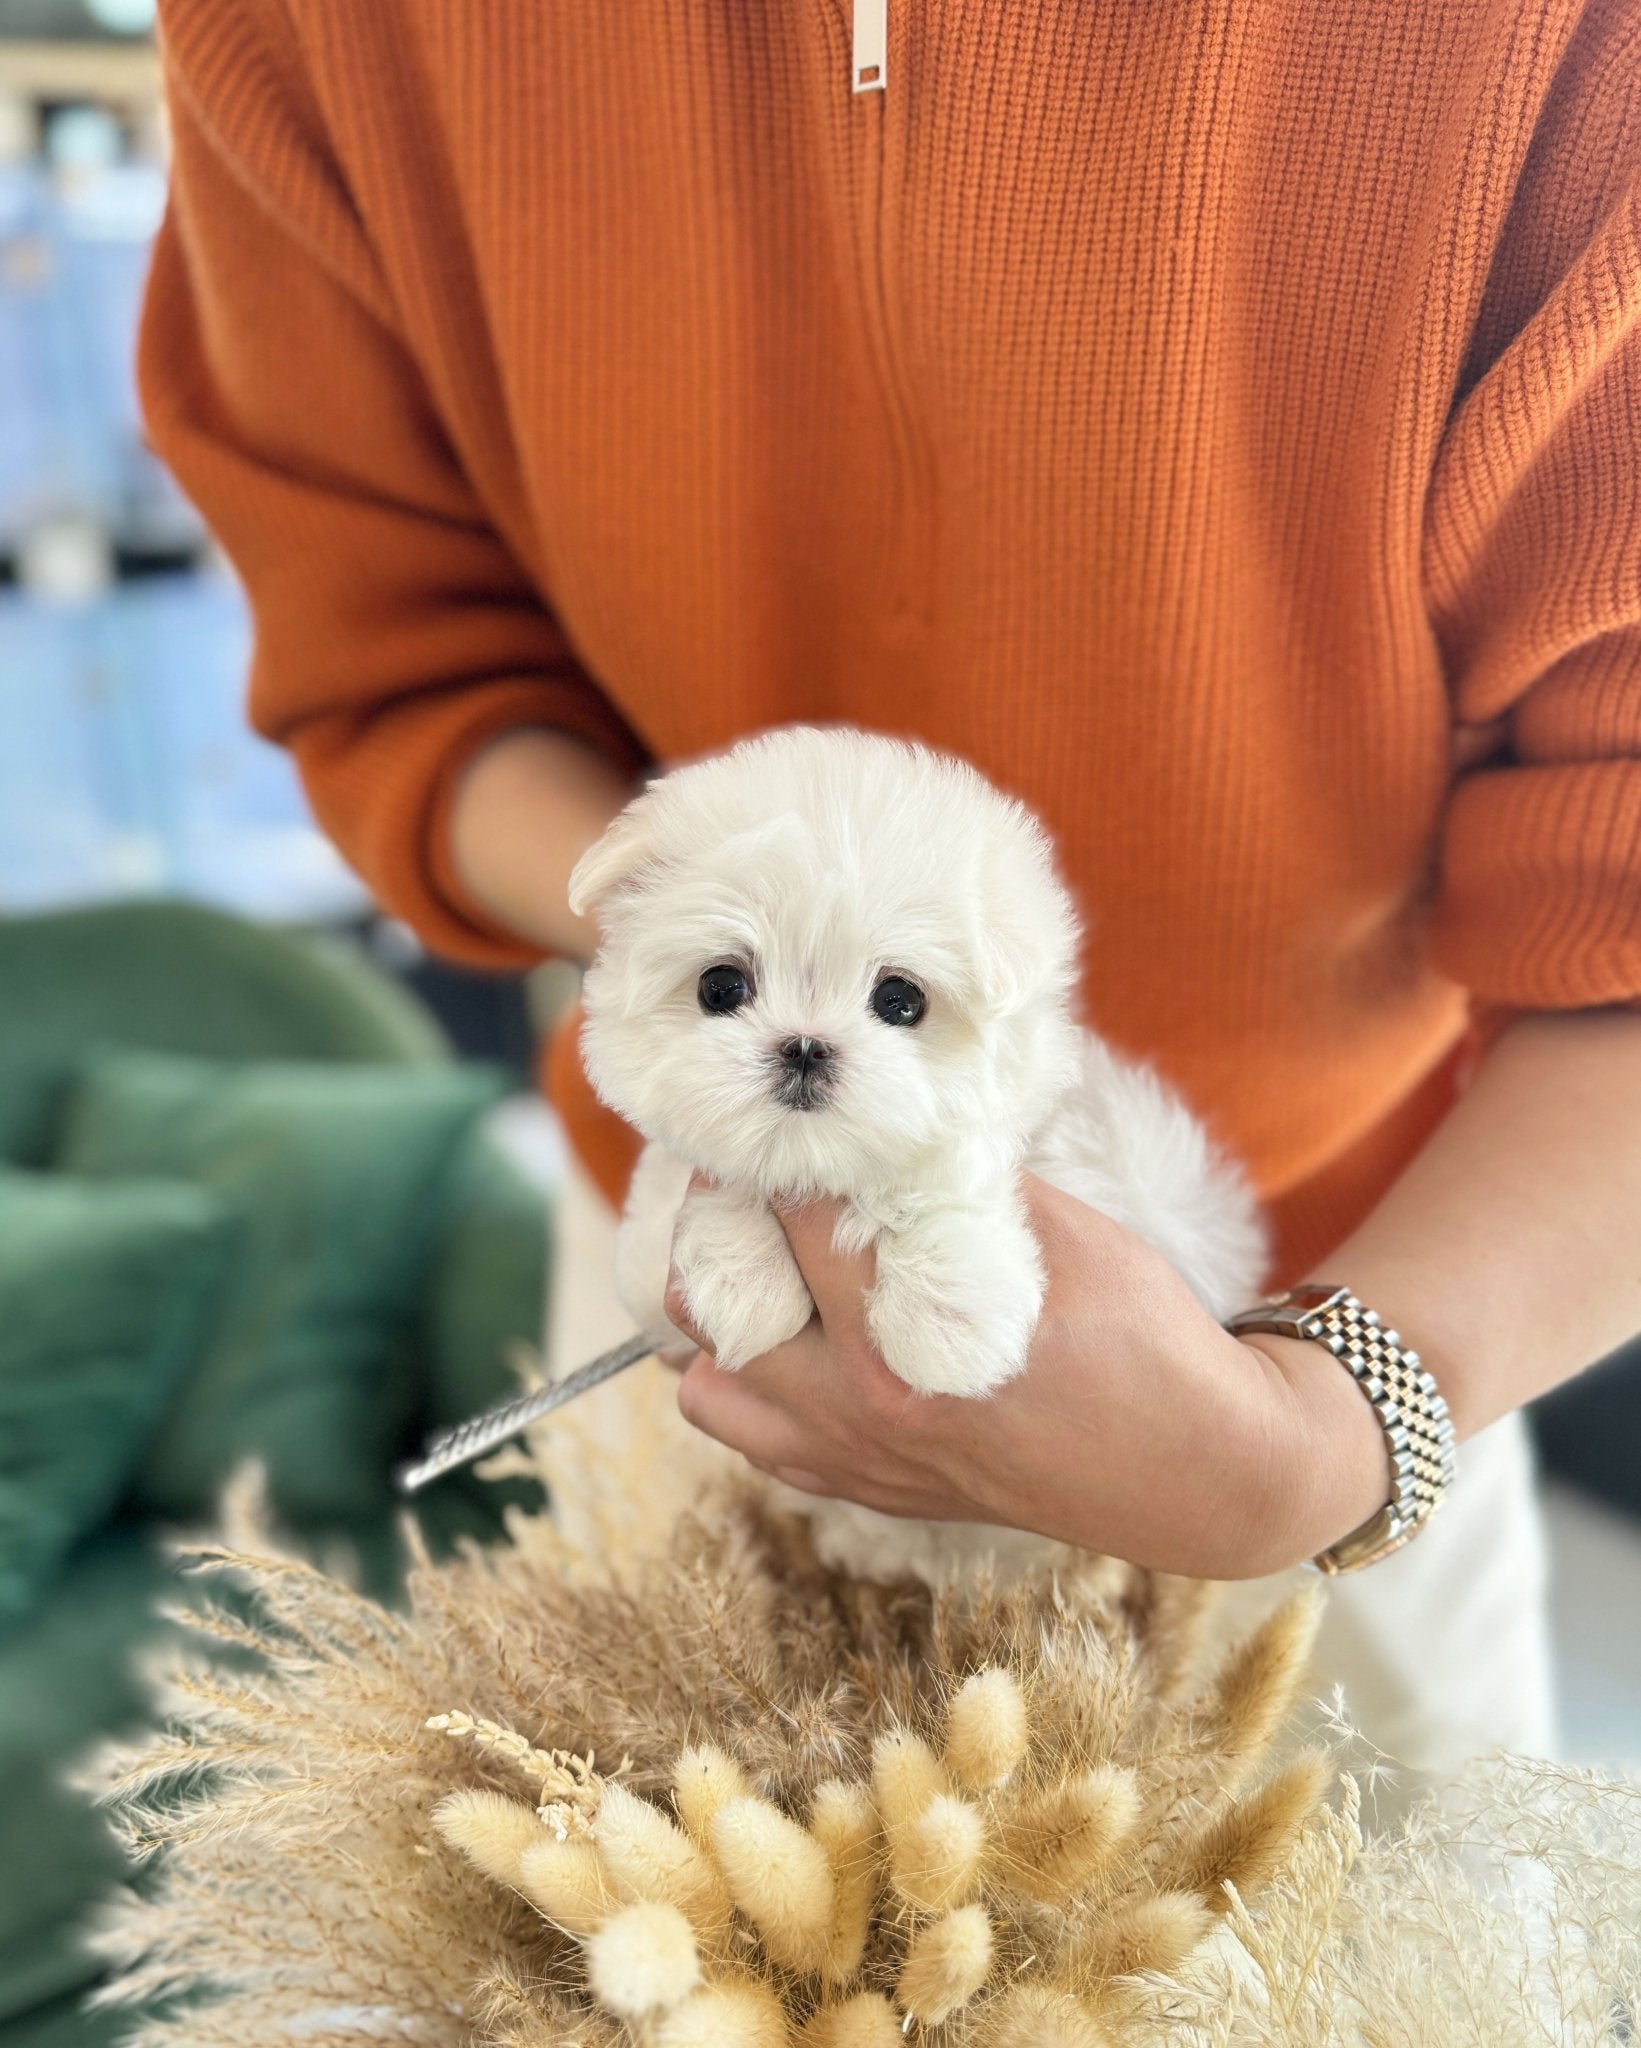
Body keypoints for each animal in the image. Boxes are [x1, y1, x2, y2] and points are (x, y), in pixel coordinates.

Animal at [565, 733, 1270, 1564]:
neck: (820, 1166)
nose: (804, 1047)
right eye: (719, 987)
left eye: (899, 1000)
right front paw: (746, 1282)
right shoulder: (649, 1272)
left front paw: (947, 1322)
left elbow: (946, 1180)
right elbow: (705, 1194)